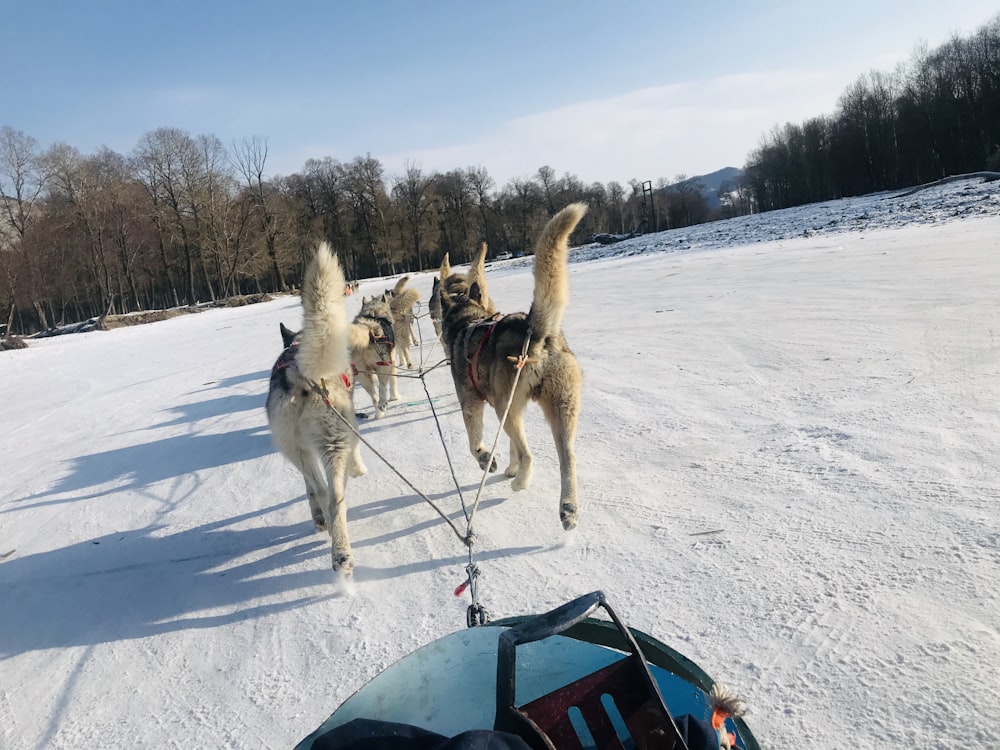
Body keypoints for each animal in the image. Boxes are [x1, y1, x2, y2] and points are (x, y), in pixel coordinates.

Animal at [266, 244, 368, 580]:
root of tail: (301, 373)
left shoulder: (300, 450)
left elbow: (309, 487)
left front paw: (317, 517)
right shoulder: (350, 429)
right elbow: (356, 452)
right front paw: (358, 468)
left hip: (297, 447)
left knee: (323, 492)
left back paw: (335, 545)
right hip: (333, 440)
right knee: (336, 496)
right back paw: (342, 552)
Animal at [350, 292, 400, 420]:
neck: (374, 312)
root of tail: (368, 328)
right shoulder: (392, 363)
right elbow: (392, 382)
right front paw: (395, 397)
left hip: (362, 375)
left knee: (374, 397)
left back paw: (379, 413)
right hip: (383, 365)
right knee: (382, 387)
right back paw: (383, 403)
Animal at [438, 206, 584, 532]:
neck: (468, 320)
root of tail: (534, 331)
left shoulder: (473, 402)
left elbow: (475, 442)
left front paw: (487, 460)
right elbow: (511, 448)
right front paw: (509, 466)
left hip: (507, 406)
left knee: (530, 455)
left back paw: (521, 482)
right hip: (559, 405)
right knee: (567, 456)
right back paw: (568, 508)